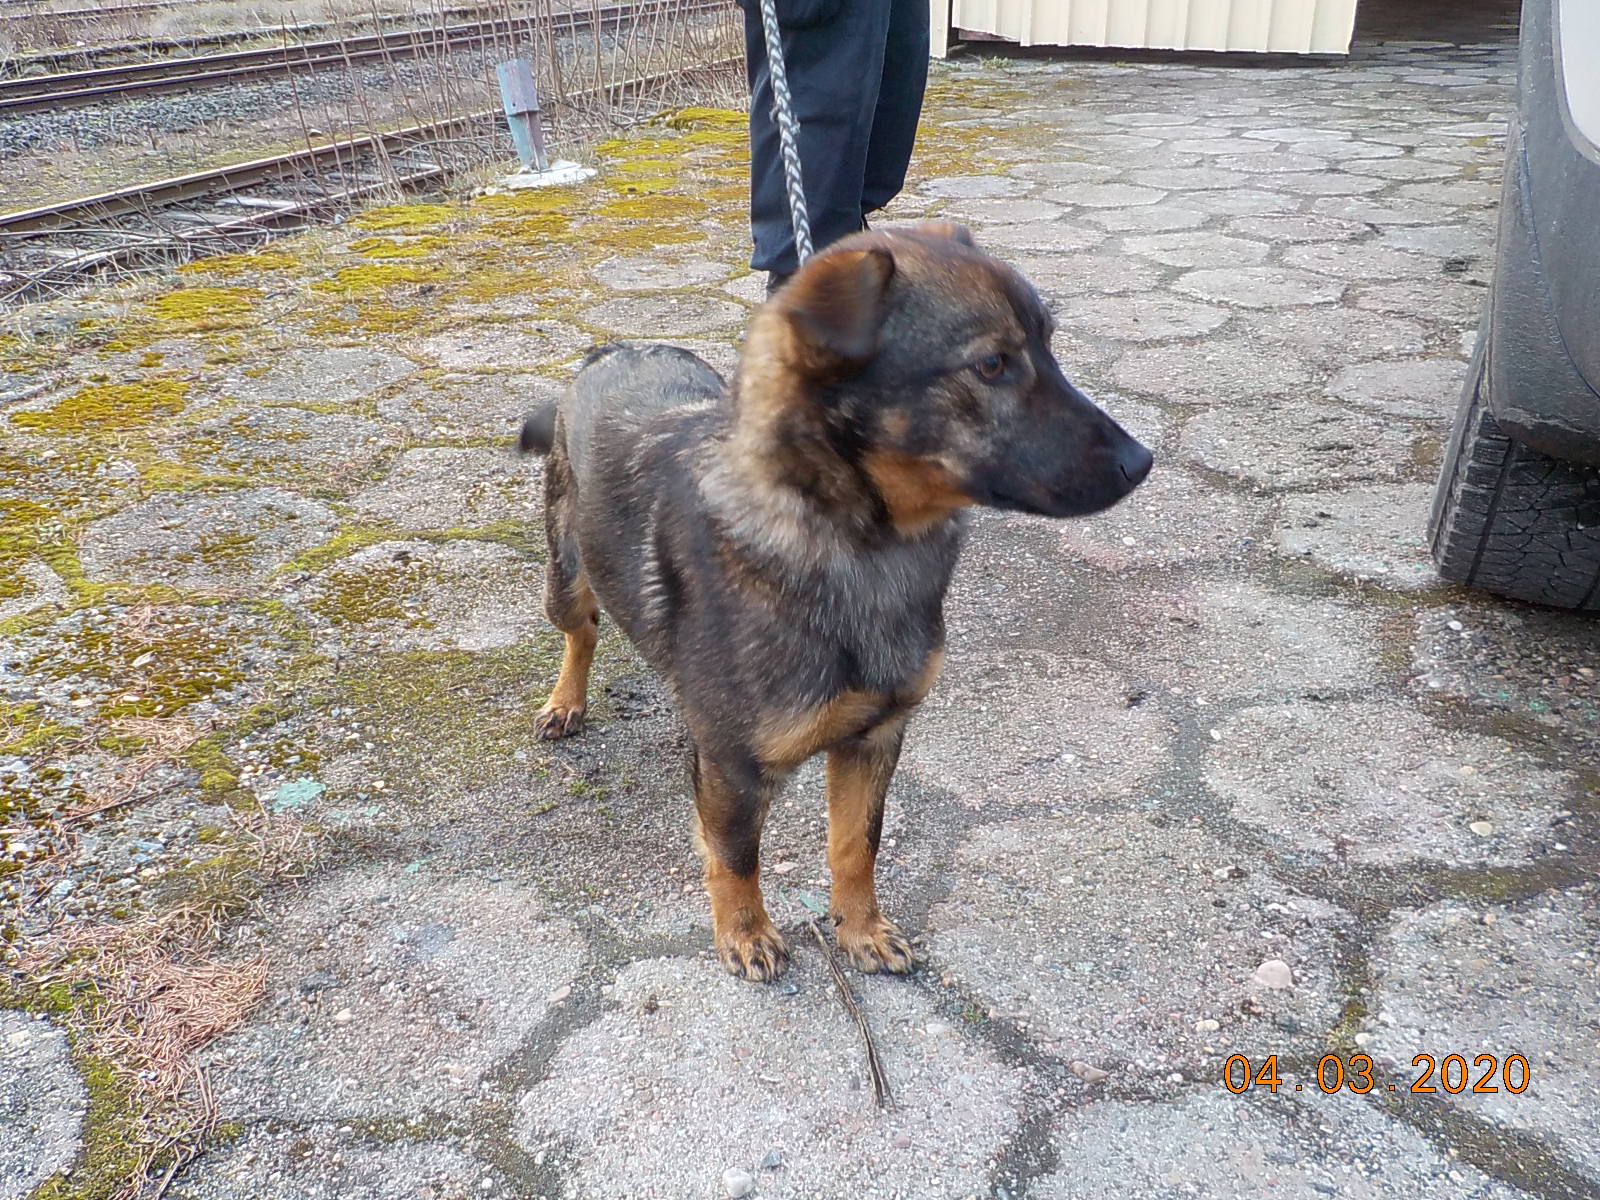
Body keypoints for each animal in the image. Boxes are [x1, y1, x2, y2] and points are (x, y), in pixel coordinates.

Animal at [518, 221, 1152, 982]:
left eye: (1049, 347)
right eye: (993, 364)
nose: (1142, 462)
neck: (860, 546)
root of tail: (610, 350)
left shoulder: (873, 738)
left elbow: (856, 846)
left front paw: (860, 929)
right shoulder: (733, 766)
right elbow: (735, 855)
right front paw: (745, 932)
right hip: (566, 573)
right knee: (580, 630)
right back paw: (566, 700)